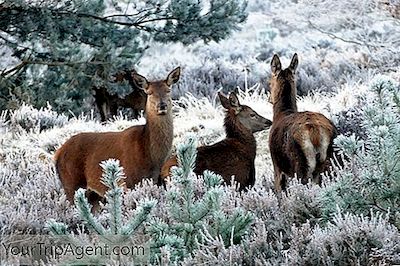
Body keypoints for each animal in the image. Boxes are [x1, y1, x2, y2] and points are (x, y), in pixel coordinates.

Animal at [54, 66, 181, 206]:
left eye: (168, 90)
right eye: (149, 92)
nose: (162, 105)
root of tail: (57, 154)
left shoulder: (158, 181)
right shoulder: (129, 180)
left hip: (93, 195)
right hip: (71, 183)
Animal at [268, 53, 338, 202]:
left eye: (270, 81)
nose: (269, 98)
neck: (281, 114)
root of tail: (316, 132)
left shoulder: (277, 166)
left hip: (301, 164)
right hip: (329, 163)